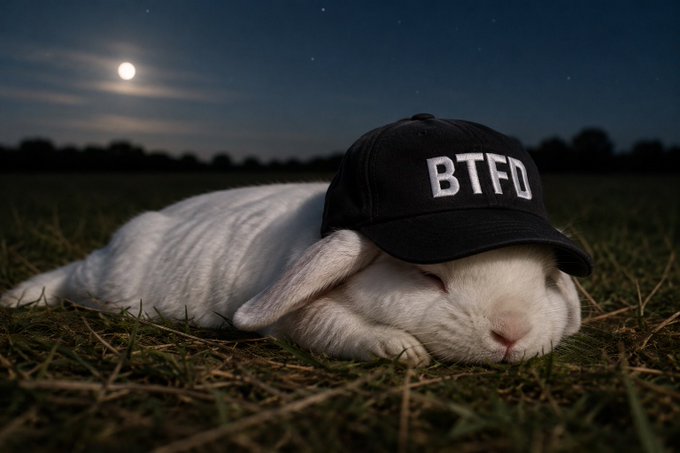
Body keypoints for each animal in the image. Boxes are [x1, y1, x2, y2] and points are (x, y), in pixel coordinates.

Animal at [1, 183, 582, 366]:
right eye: (429, 279)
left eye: (545, 281)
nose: (511, 334)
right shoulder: (301, 316)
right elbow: (332, 326)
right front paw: (401, 349)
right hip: (106, 284)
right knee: (70, 275)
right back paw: (17, 298)